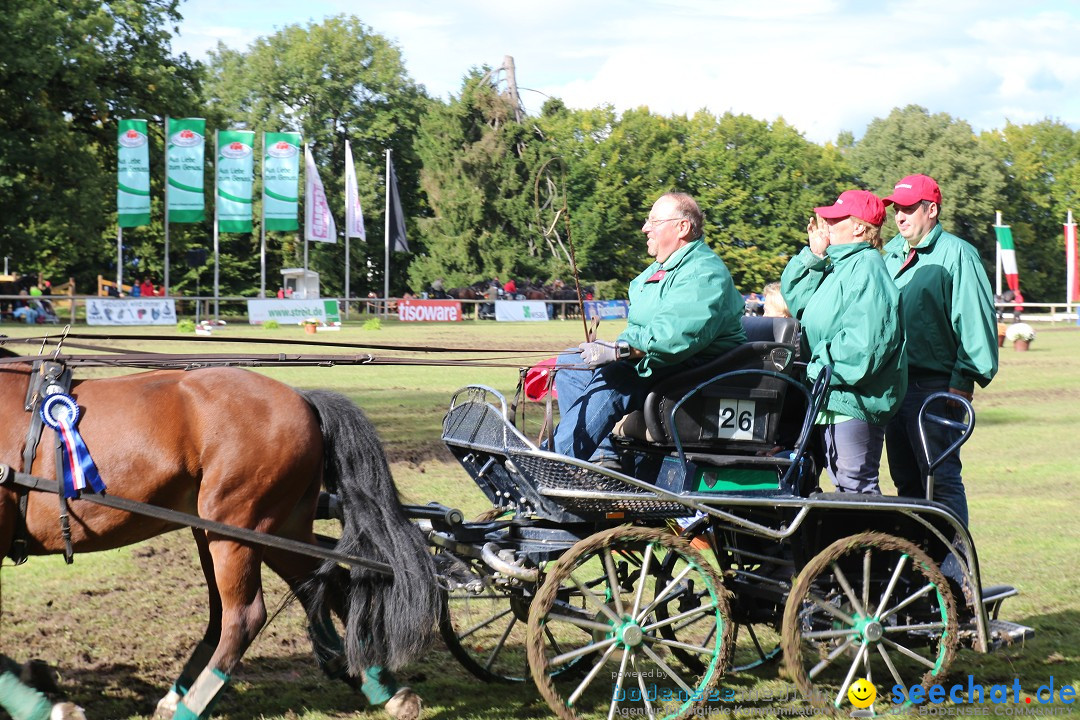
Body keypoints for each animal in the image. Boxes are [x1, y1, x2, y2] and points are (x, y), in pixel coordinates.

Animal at [1, 356, 438, 720]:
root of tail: (300, 398)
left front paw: (44, 707)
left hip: (237, 526)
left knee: (244, 616)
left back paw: (191, 705)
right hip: (270, 529)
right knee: (321, 586)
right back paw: (382, 686)